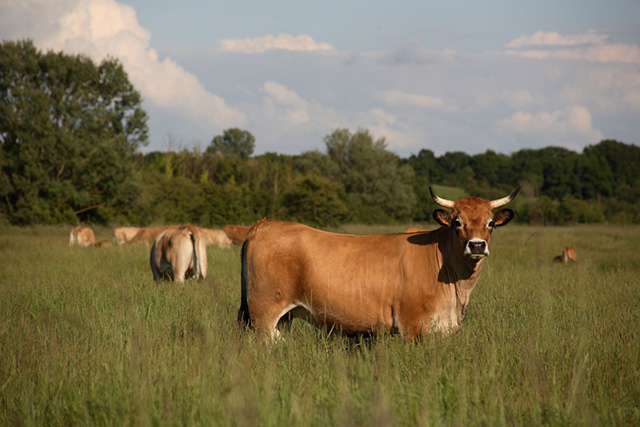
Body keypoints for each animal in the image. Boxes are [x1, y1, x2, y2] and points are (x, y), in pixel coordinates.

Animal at [240, 187, 520, 342]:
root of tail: (267, 223)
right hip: (263, 314)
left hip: (284, 317)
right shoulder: (412, 325)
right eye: (457, 222)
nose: (476, 245)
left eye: (491, 223)